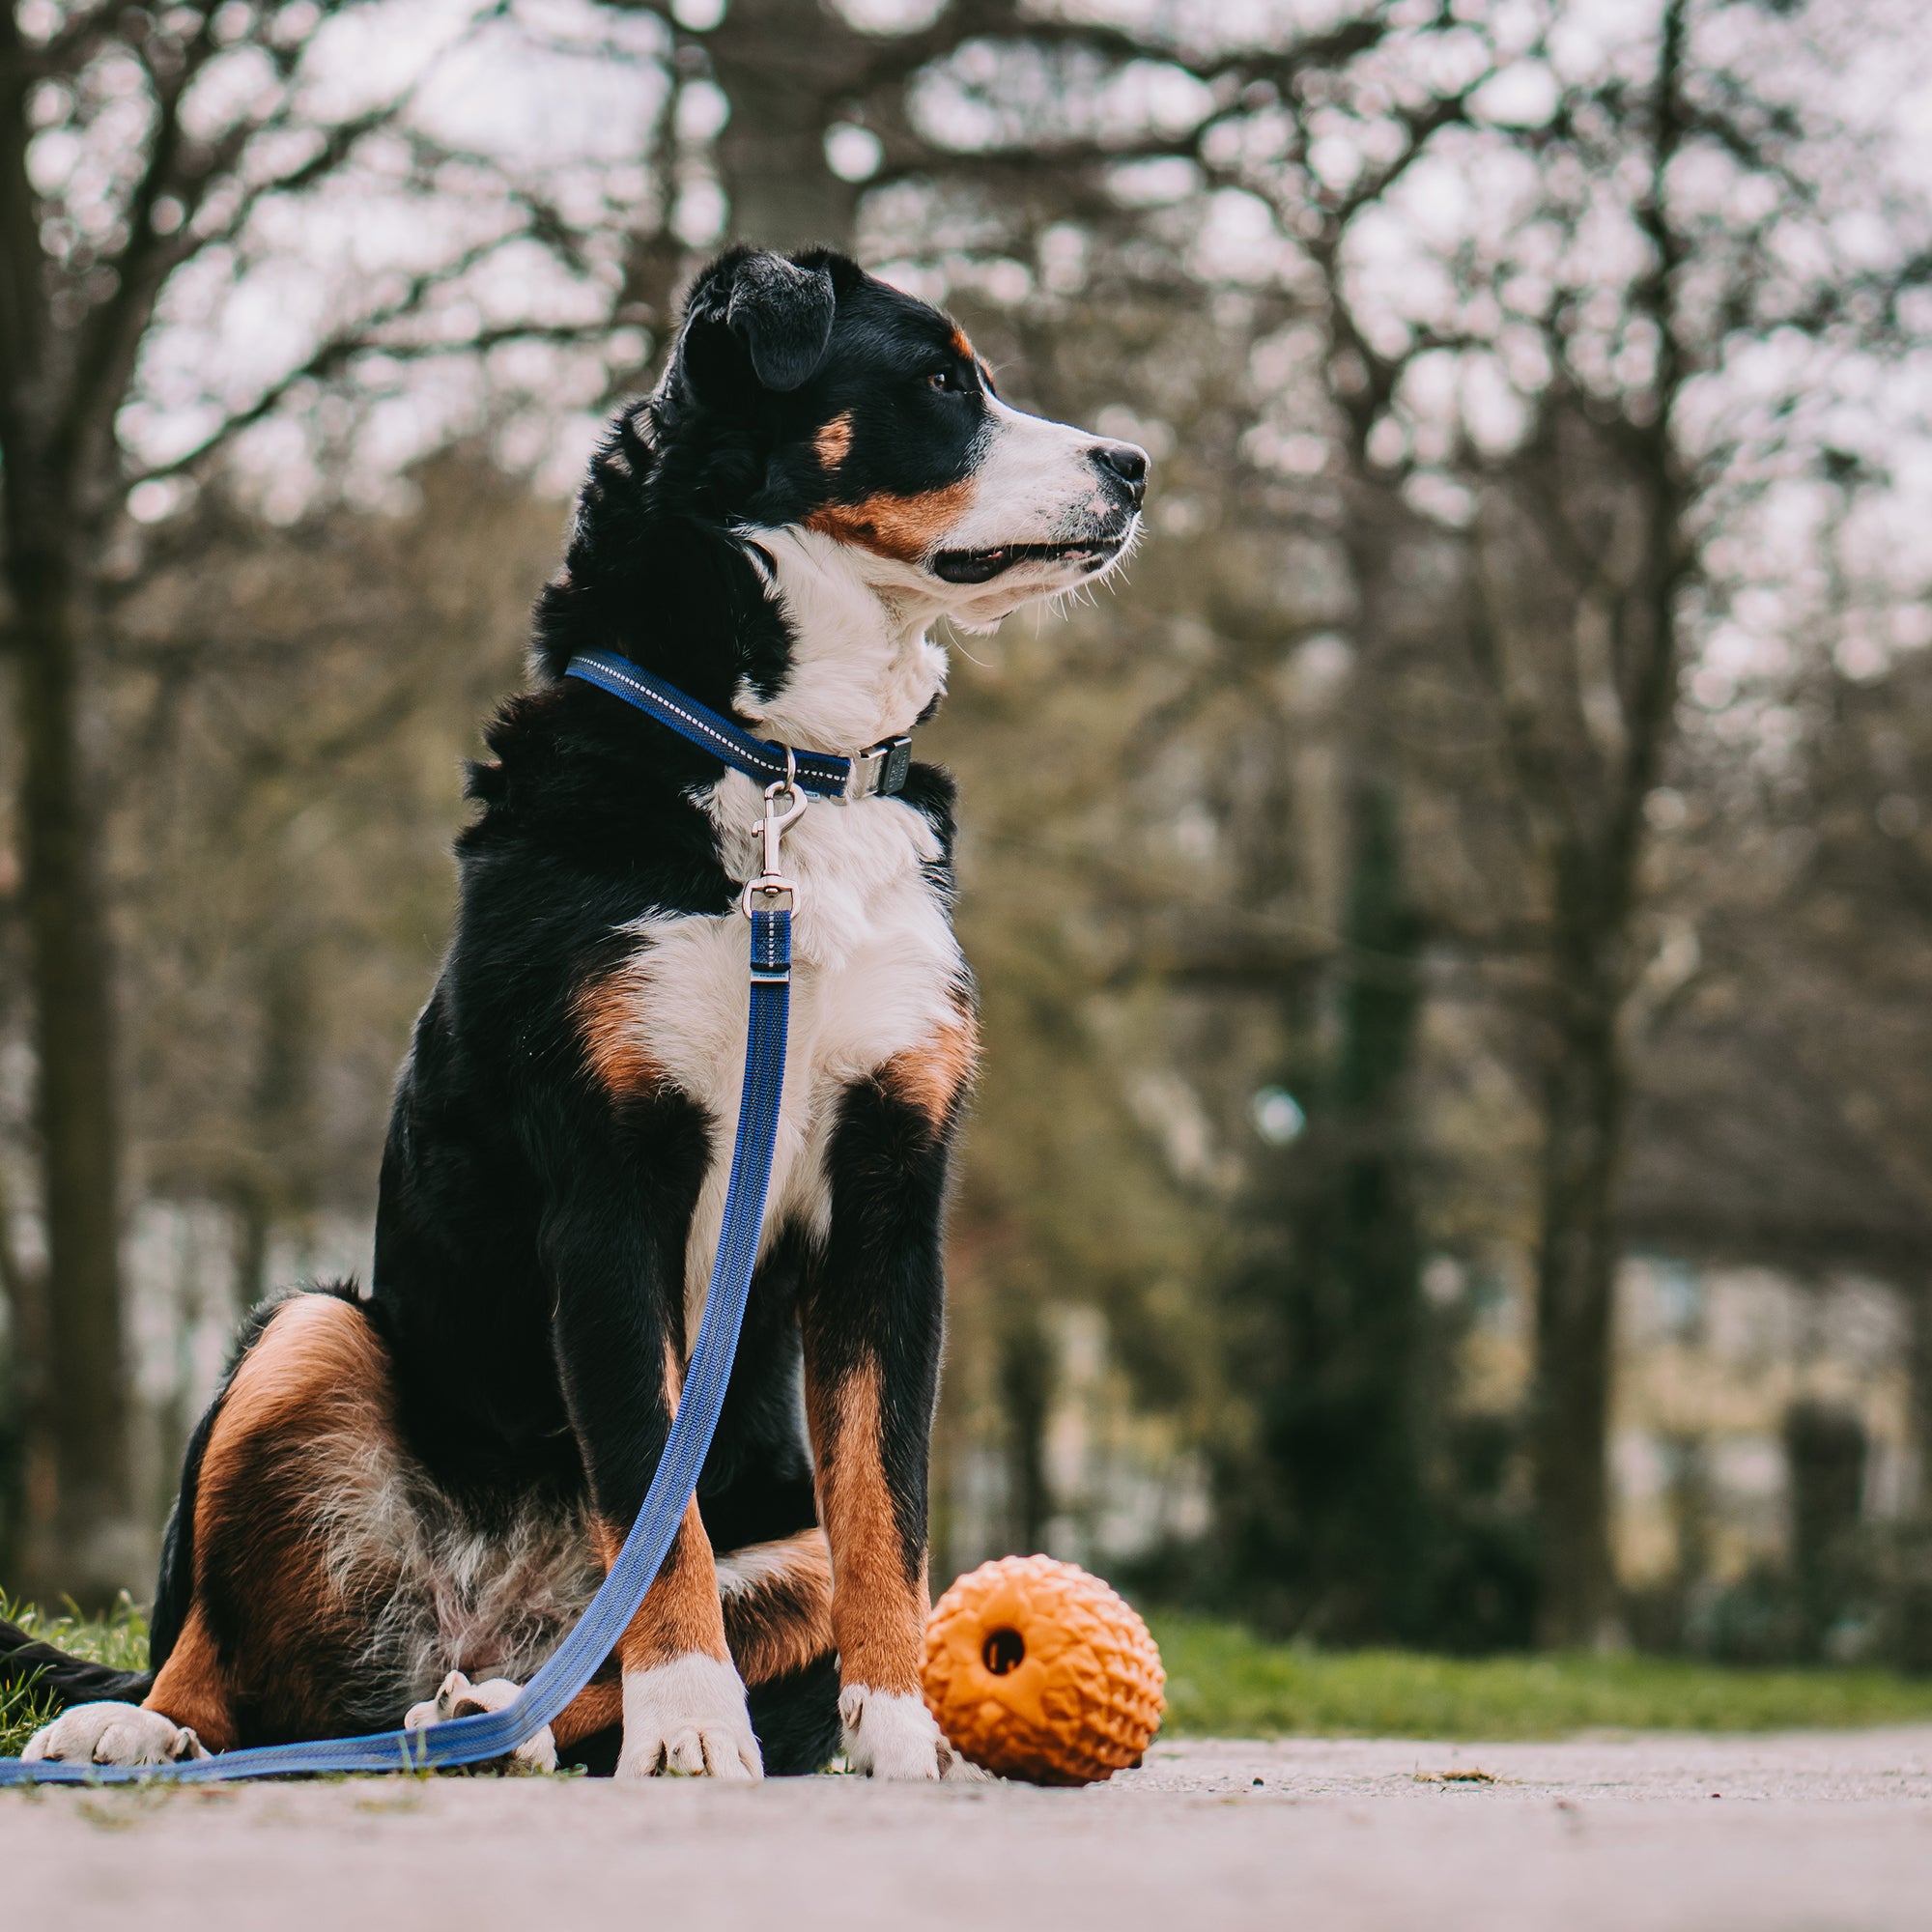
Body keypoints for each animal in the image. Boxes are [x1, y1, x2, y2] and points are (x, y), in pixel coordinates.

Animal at [3, 245, 1144, 1777]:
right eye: (939, 379)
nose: (1133, 464)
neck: (779, 777)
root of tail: (476, 1613)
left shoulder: (893, 1198)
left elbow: (886, 1509)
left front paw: (903, 1733)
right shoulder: (611, 1183)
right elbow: (648, 1493)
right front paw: (692, 1727)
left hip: (764, 1539)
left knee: (588, 1652)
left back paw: (501, 1720)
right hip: (305, 1335)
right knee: (222, 1646)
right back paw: (147, 1726)